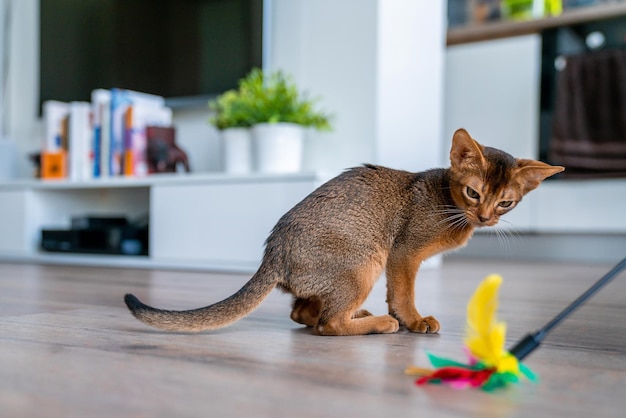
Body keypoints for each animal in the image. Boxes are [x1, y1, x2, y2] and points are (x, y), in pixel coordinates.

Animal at [123, 128, 560, 336]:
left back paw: (361, 313)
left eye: (505, 203)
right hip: (366, 260)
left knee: (304, 312)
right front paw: (413, 320)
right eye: (473, 193)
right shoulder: (402, 254)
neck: (448, 203)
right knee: (327, 325)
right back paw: (378, 323)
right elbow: (403, 295)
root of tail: (272, 254)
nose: (485, 217)